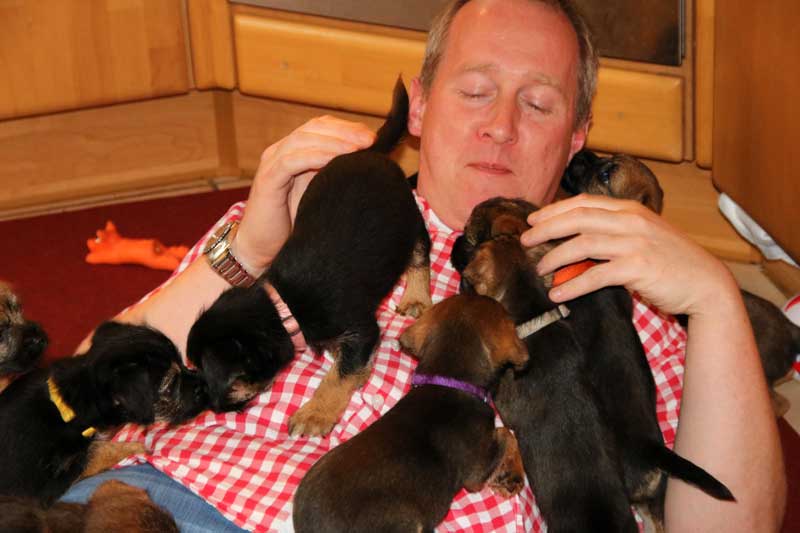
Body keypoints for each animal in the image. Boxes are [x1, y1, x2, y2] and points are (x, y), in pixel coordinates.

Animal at [0, 321, 208, 504]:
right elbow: (94, 452)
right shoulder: (47, 487)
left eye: (182, 362)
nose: (204, 383)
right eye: (171, 385)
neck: (69, 402)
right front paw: (136, 448)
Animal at [188, 77, 432, 437]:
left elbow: (341, 374)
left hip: (409, 220)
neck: (282, 305)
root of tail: (370, 152)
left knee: (419, 254)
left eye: (216, 378)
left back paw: (416, 296)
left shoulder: (360, 329)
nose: (208, 406)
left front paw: (316, 413)